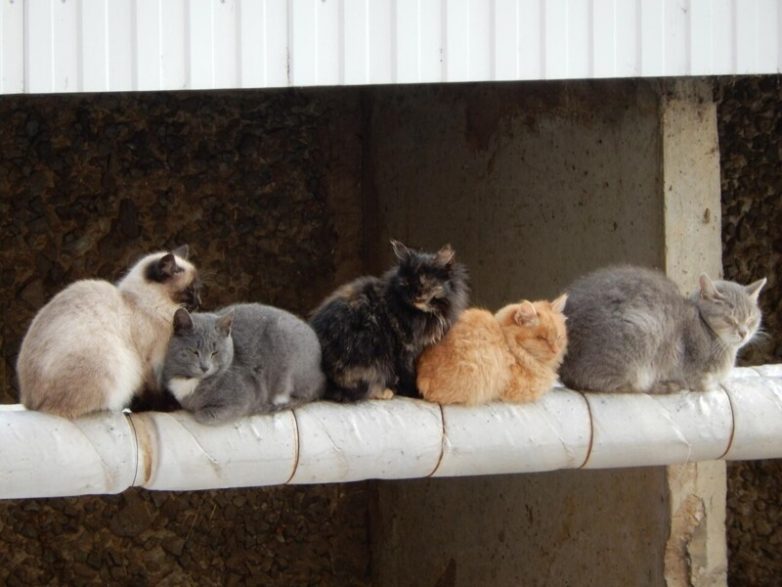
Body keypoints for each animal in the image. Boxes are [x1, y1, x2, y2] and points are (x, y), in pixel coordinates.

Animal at [17, 246, 201, 418]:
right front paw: (166, 406)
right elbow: (152, 390)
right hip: (111, 360)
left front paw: (140, 408)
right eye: (190, 291)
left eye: (197, 290)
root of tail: (30, 404)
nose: (199, 302)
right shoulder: (149, 362)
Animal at [162, 303, 326, 425]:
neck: (189, 381)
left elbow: (201, 415)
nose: (205, 367)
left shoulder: (242, 398)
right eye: (194, 351)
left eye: (215, 352)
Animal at [310, 240, 469, 402]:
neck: (426, 313)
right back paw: (385, 392)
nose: (413, 295)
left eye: (423, 283)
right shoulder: (407, 349)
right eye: (406, 283)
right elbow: (409, 375)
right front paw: (414, 393)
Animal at [559, 265, 766, 394]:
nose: (743, 333)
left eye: (750, 319)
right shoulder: (697, 373)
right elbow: (702, 383)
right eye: (729, 319)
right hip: (641, 336)